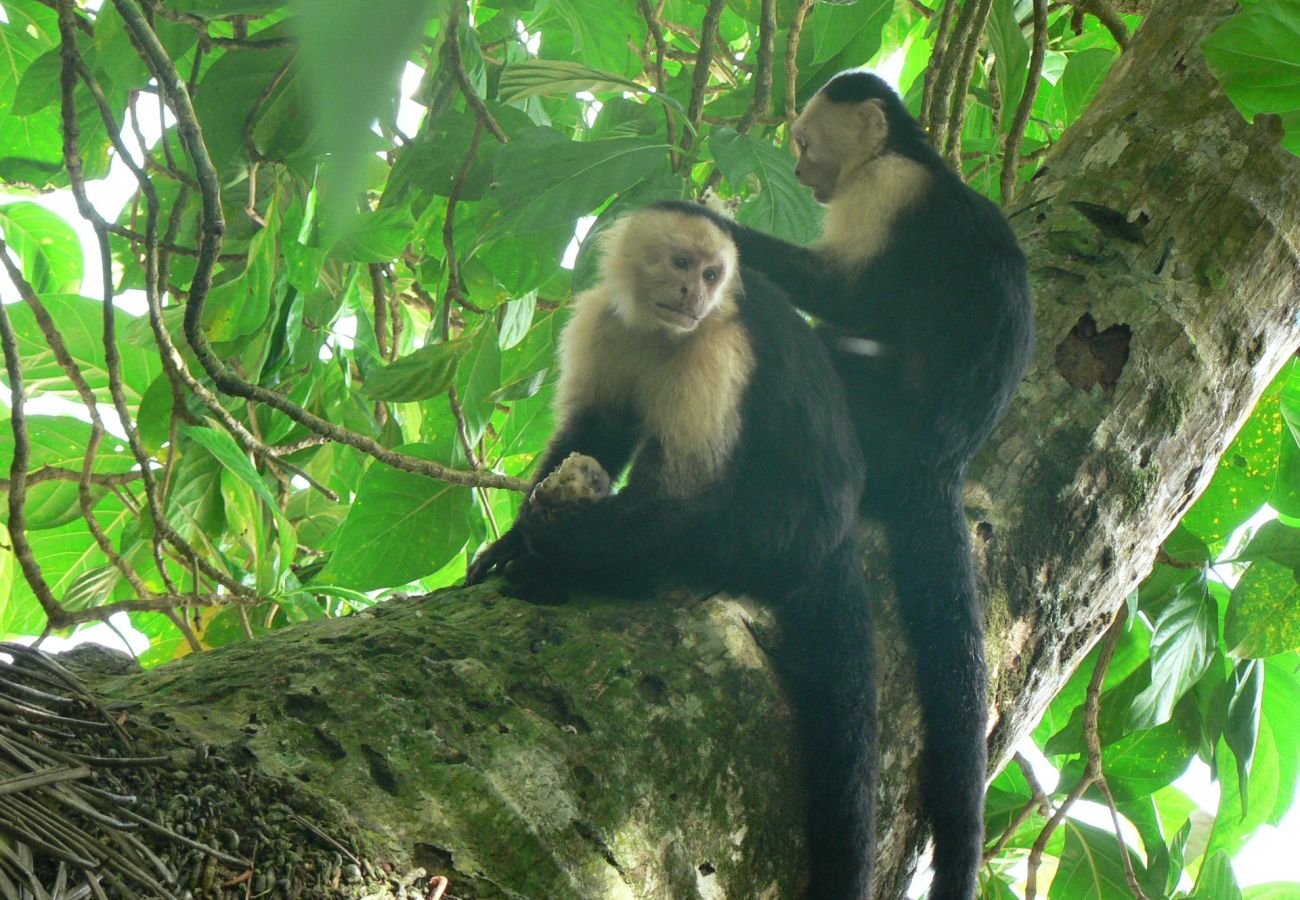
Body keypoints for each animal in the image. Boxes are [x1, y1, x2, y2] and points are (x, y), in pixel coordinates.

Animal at [462, 206, 878, 894]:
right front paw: (518, 536)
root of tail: (838, 536)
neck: (660, 331)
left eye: (713, 275)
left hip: (779, 534)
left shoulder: (717, 346)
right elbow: (595, 433)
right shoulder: (603, 320)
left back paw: (587, 572)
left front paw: (552, 541)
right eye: (682, 264)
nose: (695, 294)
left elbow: (685, 492)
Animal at [660, 70, 1034, 900]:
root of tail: (940, 462)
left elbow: (852, 296)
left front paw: (710, 222)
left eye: (804, 144)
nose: (801, 175)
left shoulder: (886, 191)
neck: (909, 150)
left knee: (831, 352)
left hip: (881, 423)